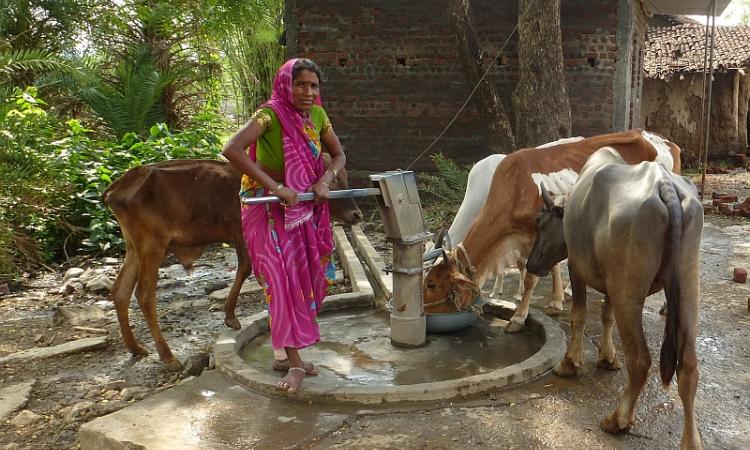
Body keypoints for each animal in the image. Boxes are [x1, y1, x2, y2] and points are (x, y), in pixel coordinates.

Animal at [104, 158, 362, 370]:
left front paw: (230, 315)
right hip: (152, 245)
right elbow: (256, 273)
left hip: (134, 248)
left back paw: (135, 348)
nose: (357, 215)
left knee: (120, 291)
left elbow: (247, 271)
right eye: (333, 182)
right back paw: (168, 358)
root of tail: (115, 188)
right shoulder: (243, 234)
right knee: (144, 295)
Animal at [424, 128, 680, 332]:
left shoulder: (537, 236)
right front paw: (554, 302)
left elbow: (530, 276)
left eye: (431, 284)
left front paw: (518, 316)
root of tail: (665, 141)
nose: (424, 316)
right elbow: (546, 267)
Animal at [524, 147, 704, 446]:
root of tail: (664, 185)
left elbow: (579, 315)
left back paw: (618, 419)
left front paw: (570, 363)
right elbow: (606, 316)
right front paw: (607, 357)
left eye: (540, 222)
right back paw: (691, 442)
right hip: (687, 288)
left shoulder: (577, 266)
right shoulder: (610, 282)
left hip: (629, 291)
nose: (530, 264)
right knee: (688, 365)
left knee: (641, 359)